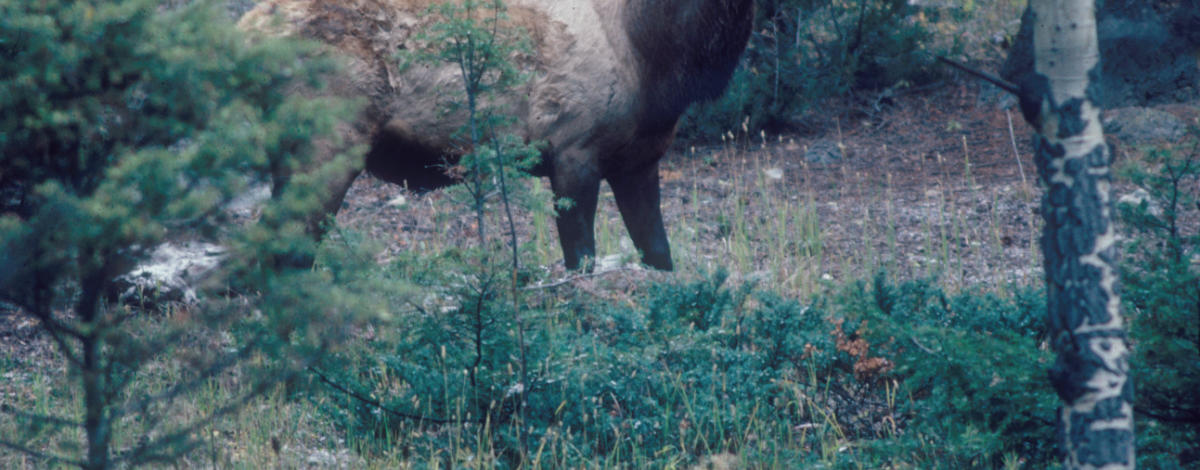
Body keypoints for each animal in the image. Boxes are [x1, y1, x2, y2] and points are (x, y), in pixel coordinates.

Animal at [238, 0, 753, 269]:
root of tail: (245, 30)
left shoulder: (640, 159)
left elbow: (659, 253)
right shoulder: (572, 147)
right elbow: (581, 259)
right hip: (325, 144)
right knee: (286, 248)